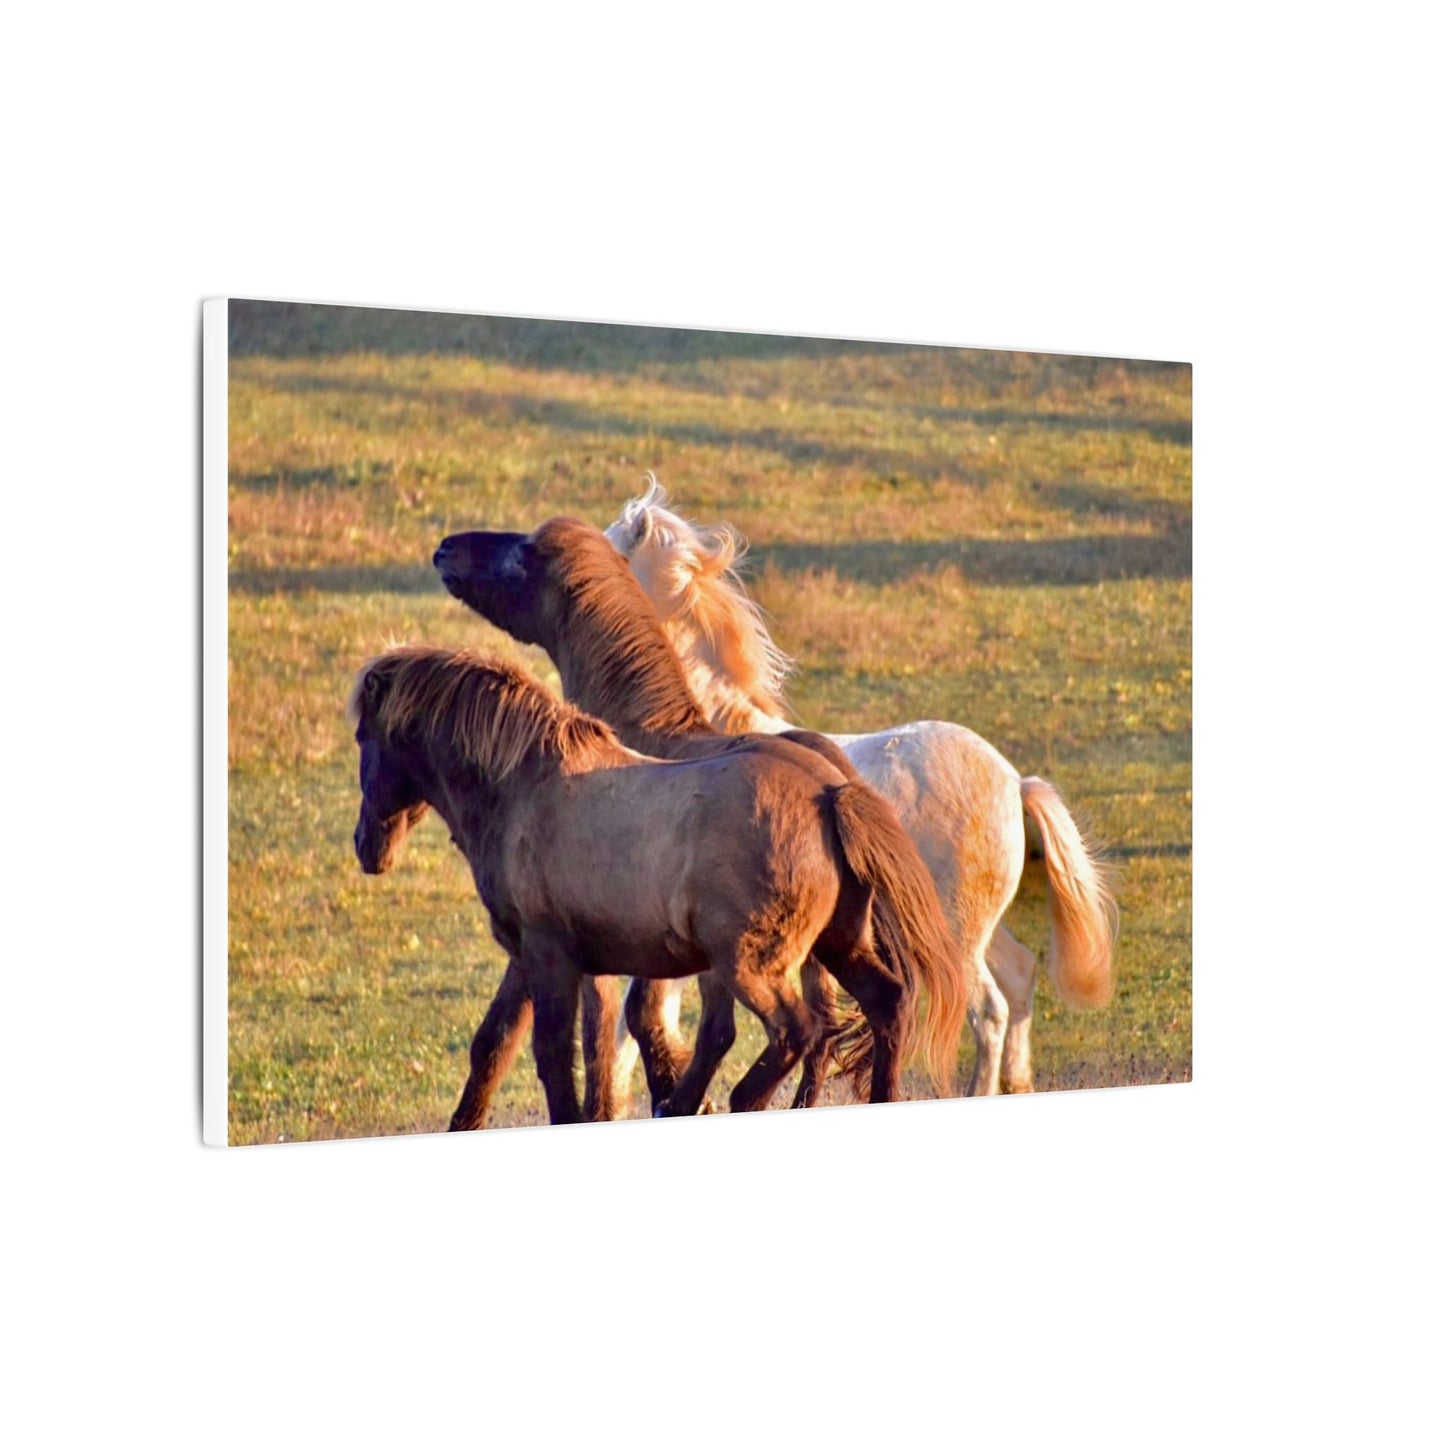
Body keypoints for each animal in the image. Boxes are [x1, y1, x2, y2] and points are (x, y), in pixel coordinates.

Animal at [349, 646, 968, 1121]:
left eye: (362, 736)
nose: (366, 847)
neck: (526, 786)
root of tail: (829, 793)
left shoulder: (549, 956)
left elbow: (555, 1058)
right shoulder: (543, 958)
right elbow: (509, 1046)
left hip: (752, 965)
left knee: (798, 1031)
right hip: (838, 944)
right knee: (886, 1003)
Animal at [603, 478, 1118, 1095]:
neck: (699, 733)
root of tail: (1015, 782)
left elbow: (641, 1025)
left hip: (955, 935)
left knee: (988, 1010)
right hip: (977, 931)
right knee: (1019, 980)